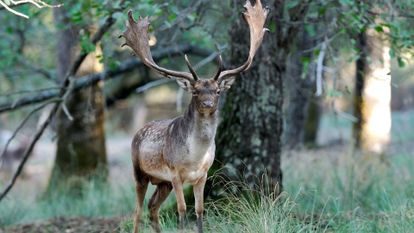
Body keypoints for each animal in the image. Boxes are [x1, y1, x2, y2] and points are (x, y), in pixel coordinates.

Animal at [119, 0, 268, 232]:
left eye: (218, 91)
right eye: (196, 91)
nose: (207, 104)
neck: (194, 159)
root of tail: (138, 131)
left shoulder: (203, 175)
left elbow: (199, 210)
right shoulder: (175, 173)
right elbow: (181, 210)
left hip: (162, 182)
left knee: (152, 206)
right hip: (139, 172)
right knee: (137, 211)